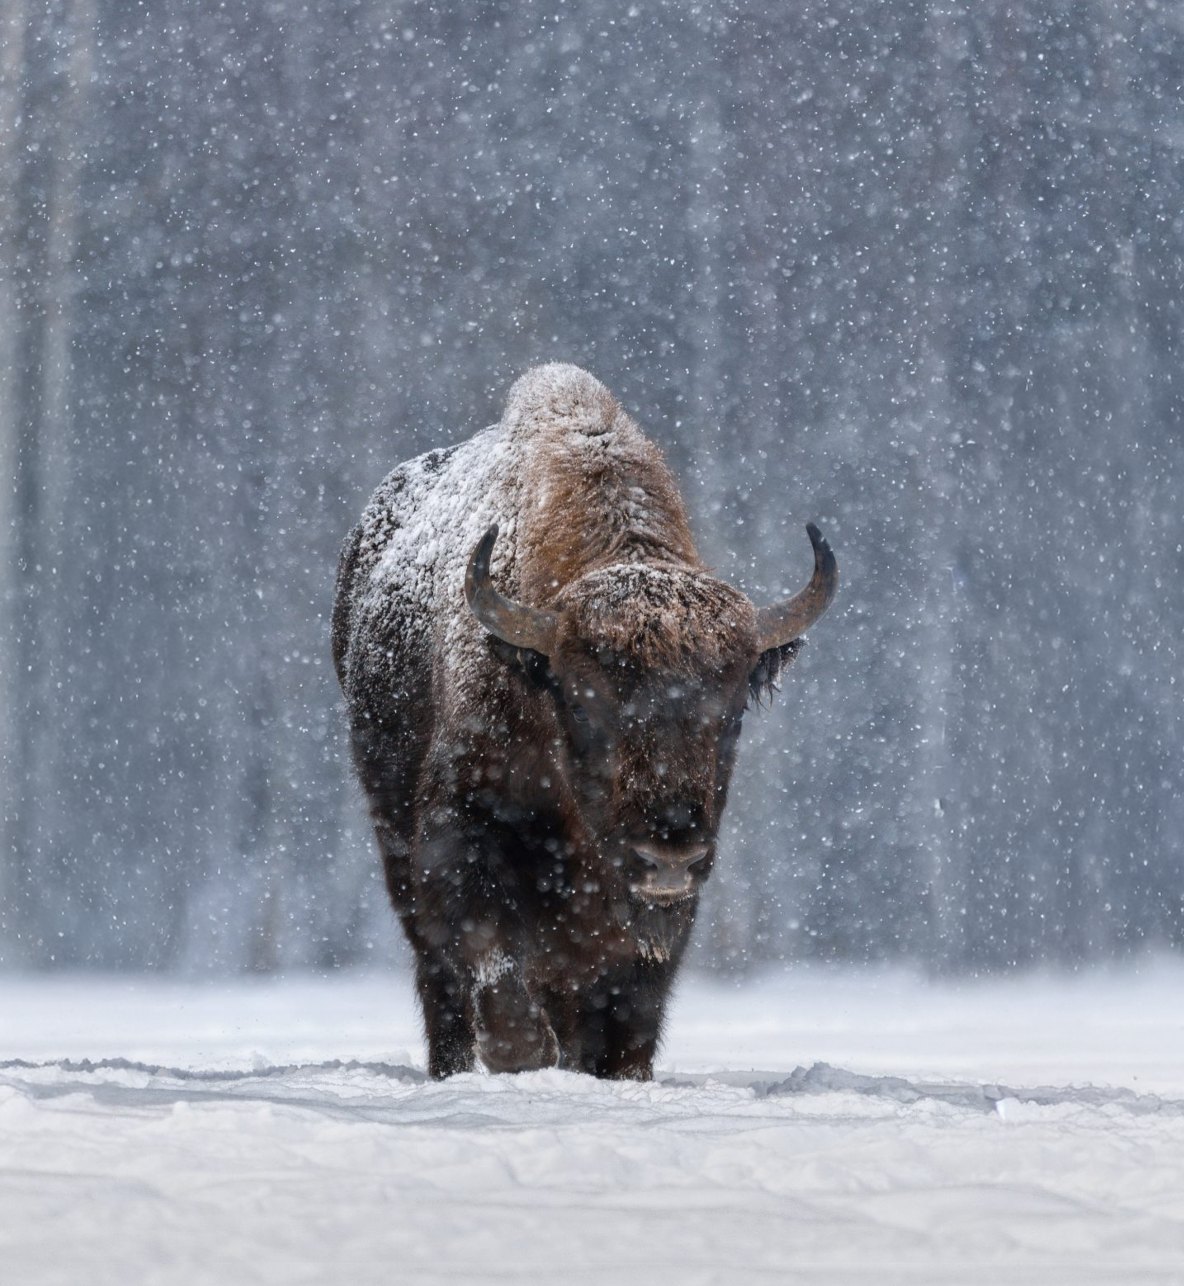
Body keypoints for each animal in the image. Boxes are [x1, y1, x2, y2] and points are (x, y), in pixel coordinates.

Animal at [332, 364, 837, 1078]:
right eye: (584, 701)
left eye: (734, 708)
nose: (667, 854)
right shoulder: (459, 833)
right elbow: (492, 964)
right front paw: (523, 1052)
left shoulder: (664, 920)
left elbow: (629, 1019)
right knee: (442, 982)